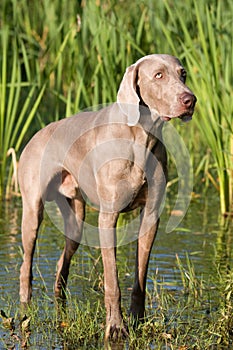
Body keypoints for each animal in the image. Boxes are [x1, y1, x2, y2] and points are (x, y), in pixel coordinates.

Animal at [18, 54, 197, 340]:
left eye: (183, 74)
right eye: (158, 75)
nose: (190, 100)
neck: (141, 138)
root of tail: (38, 133)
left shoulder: (150, 217)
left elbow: (140, 276)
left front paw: (137, 320)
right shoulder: (108, 218)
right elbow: (112, 279)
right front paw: (115, 326)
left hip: (76, 219)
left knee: (62, 262)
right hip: (33, 210)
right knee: (26, 264)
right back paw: (25, 305)